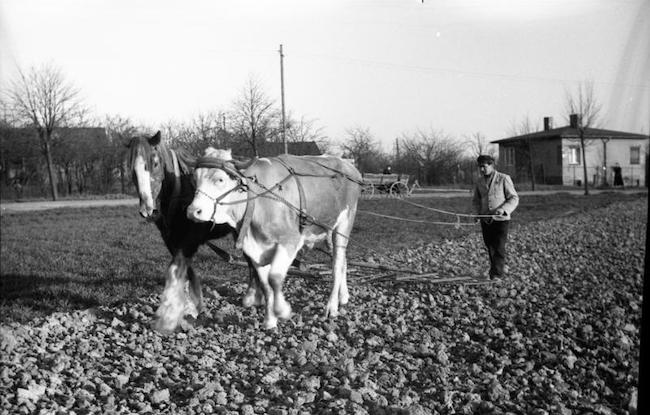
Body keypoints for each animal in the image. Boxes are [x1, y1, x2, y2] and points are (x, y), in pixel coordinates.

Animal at [125, 132, 260, 334]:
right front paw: (194, 305)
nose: (147, 209)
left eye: (155, 163)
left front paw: (168, 318)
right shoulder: (171, 240)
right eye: (131, 167)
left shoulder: (191, 239)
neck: (180, 191)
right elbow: (186, 270)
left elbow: (176, 268)